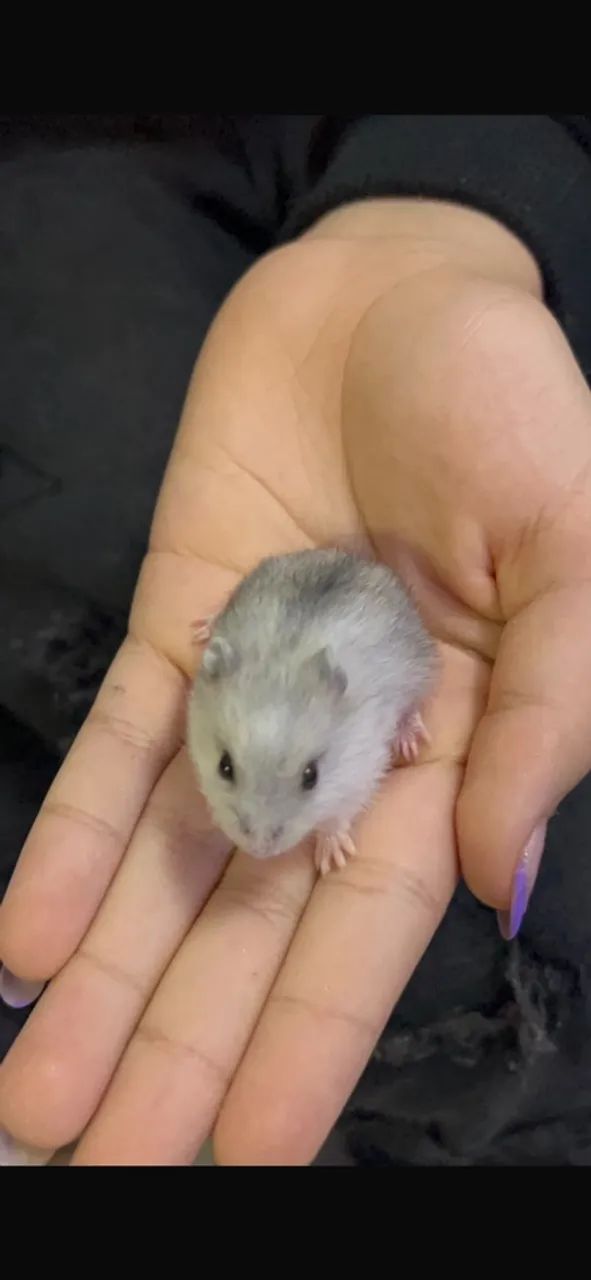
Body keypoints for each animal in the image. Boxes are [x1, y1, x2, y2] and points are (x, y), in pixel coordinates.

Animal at [187, 548, 437, 875]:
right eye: (223, 766)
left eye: (312, 776)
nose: (260, 851)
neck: (283, 662)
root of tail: (358, 559)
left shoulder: (360, 770)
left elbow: (339, 812)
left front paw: (333, 859)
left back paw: (409, 741)